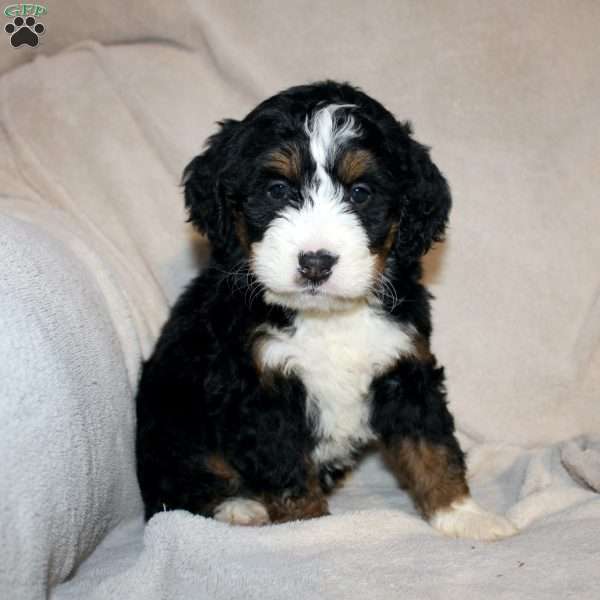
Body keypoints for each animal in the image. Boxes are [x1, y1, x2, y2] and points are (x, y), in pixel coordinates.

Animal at [135, 78, 516, 540]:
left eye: (360, 193)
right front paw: (310, 530)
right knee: (175, 492)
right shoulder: (260, 390)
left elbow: (432, 445)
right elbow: (288, 473)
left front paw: (463, 514)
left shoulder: (405, 366)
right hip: (170, 426)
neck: (328, 317)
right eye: (277, 189)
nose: (316, 262)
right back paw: (237, 507)